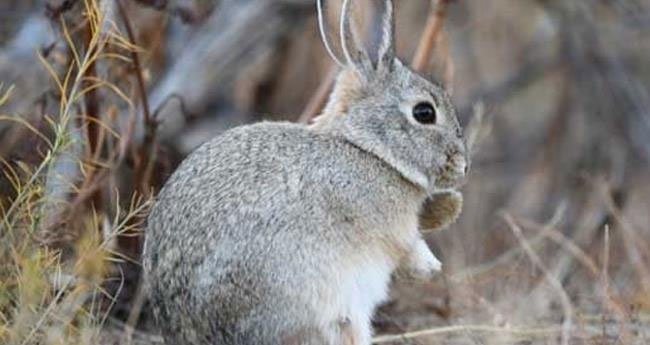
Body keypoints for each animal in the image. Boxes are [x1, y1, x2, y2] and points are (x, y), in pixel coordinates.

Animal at [140, 1, 466, 342]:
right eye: (424, 112)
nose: (462, 165)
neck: (366, 148)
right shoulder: (392, 229)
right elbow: (408, 250)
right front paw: (431, 266)